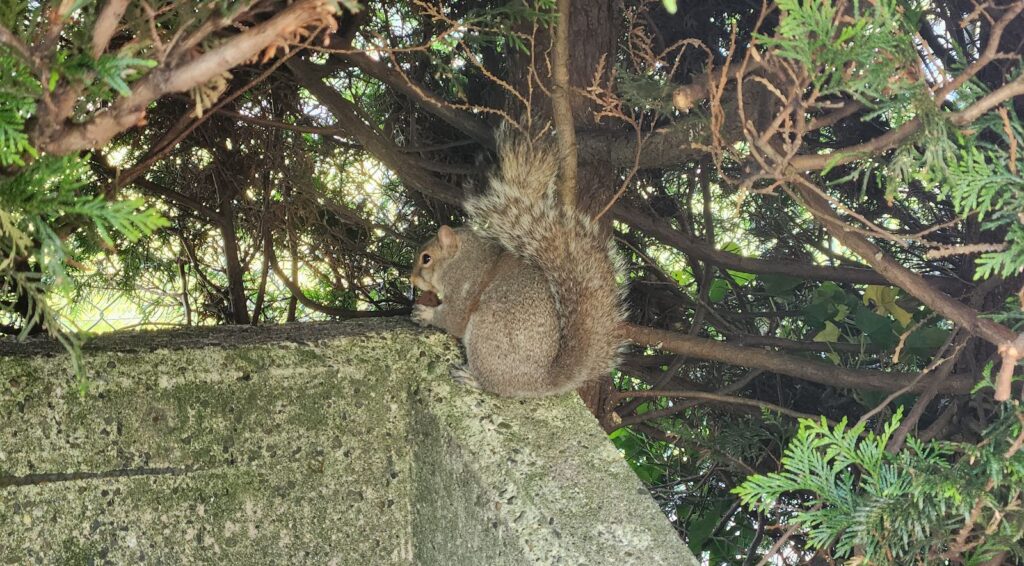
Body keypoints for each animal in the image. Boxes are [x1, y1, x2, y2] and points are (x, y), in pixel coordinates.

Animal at [410, 127, 626, 397]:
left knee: (494, 385)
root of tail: (540, 382)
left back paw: (472, 378)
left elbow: (453, 319)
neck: (462, 257)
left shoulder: (463, 286)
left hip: (487, 332)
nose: (411, 278)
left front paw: (425, 313)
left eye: (426, 258)